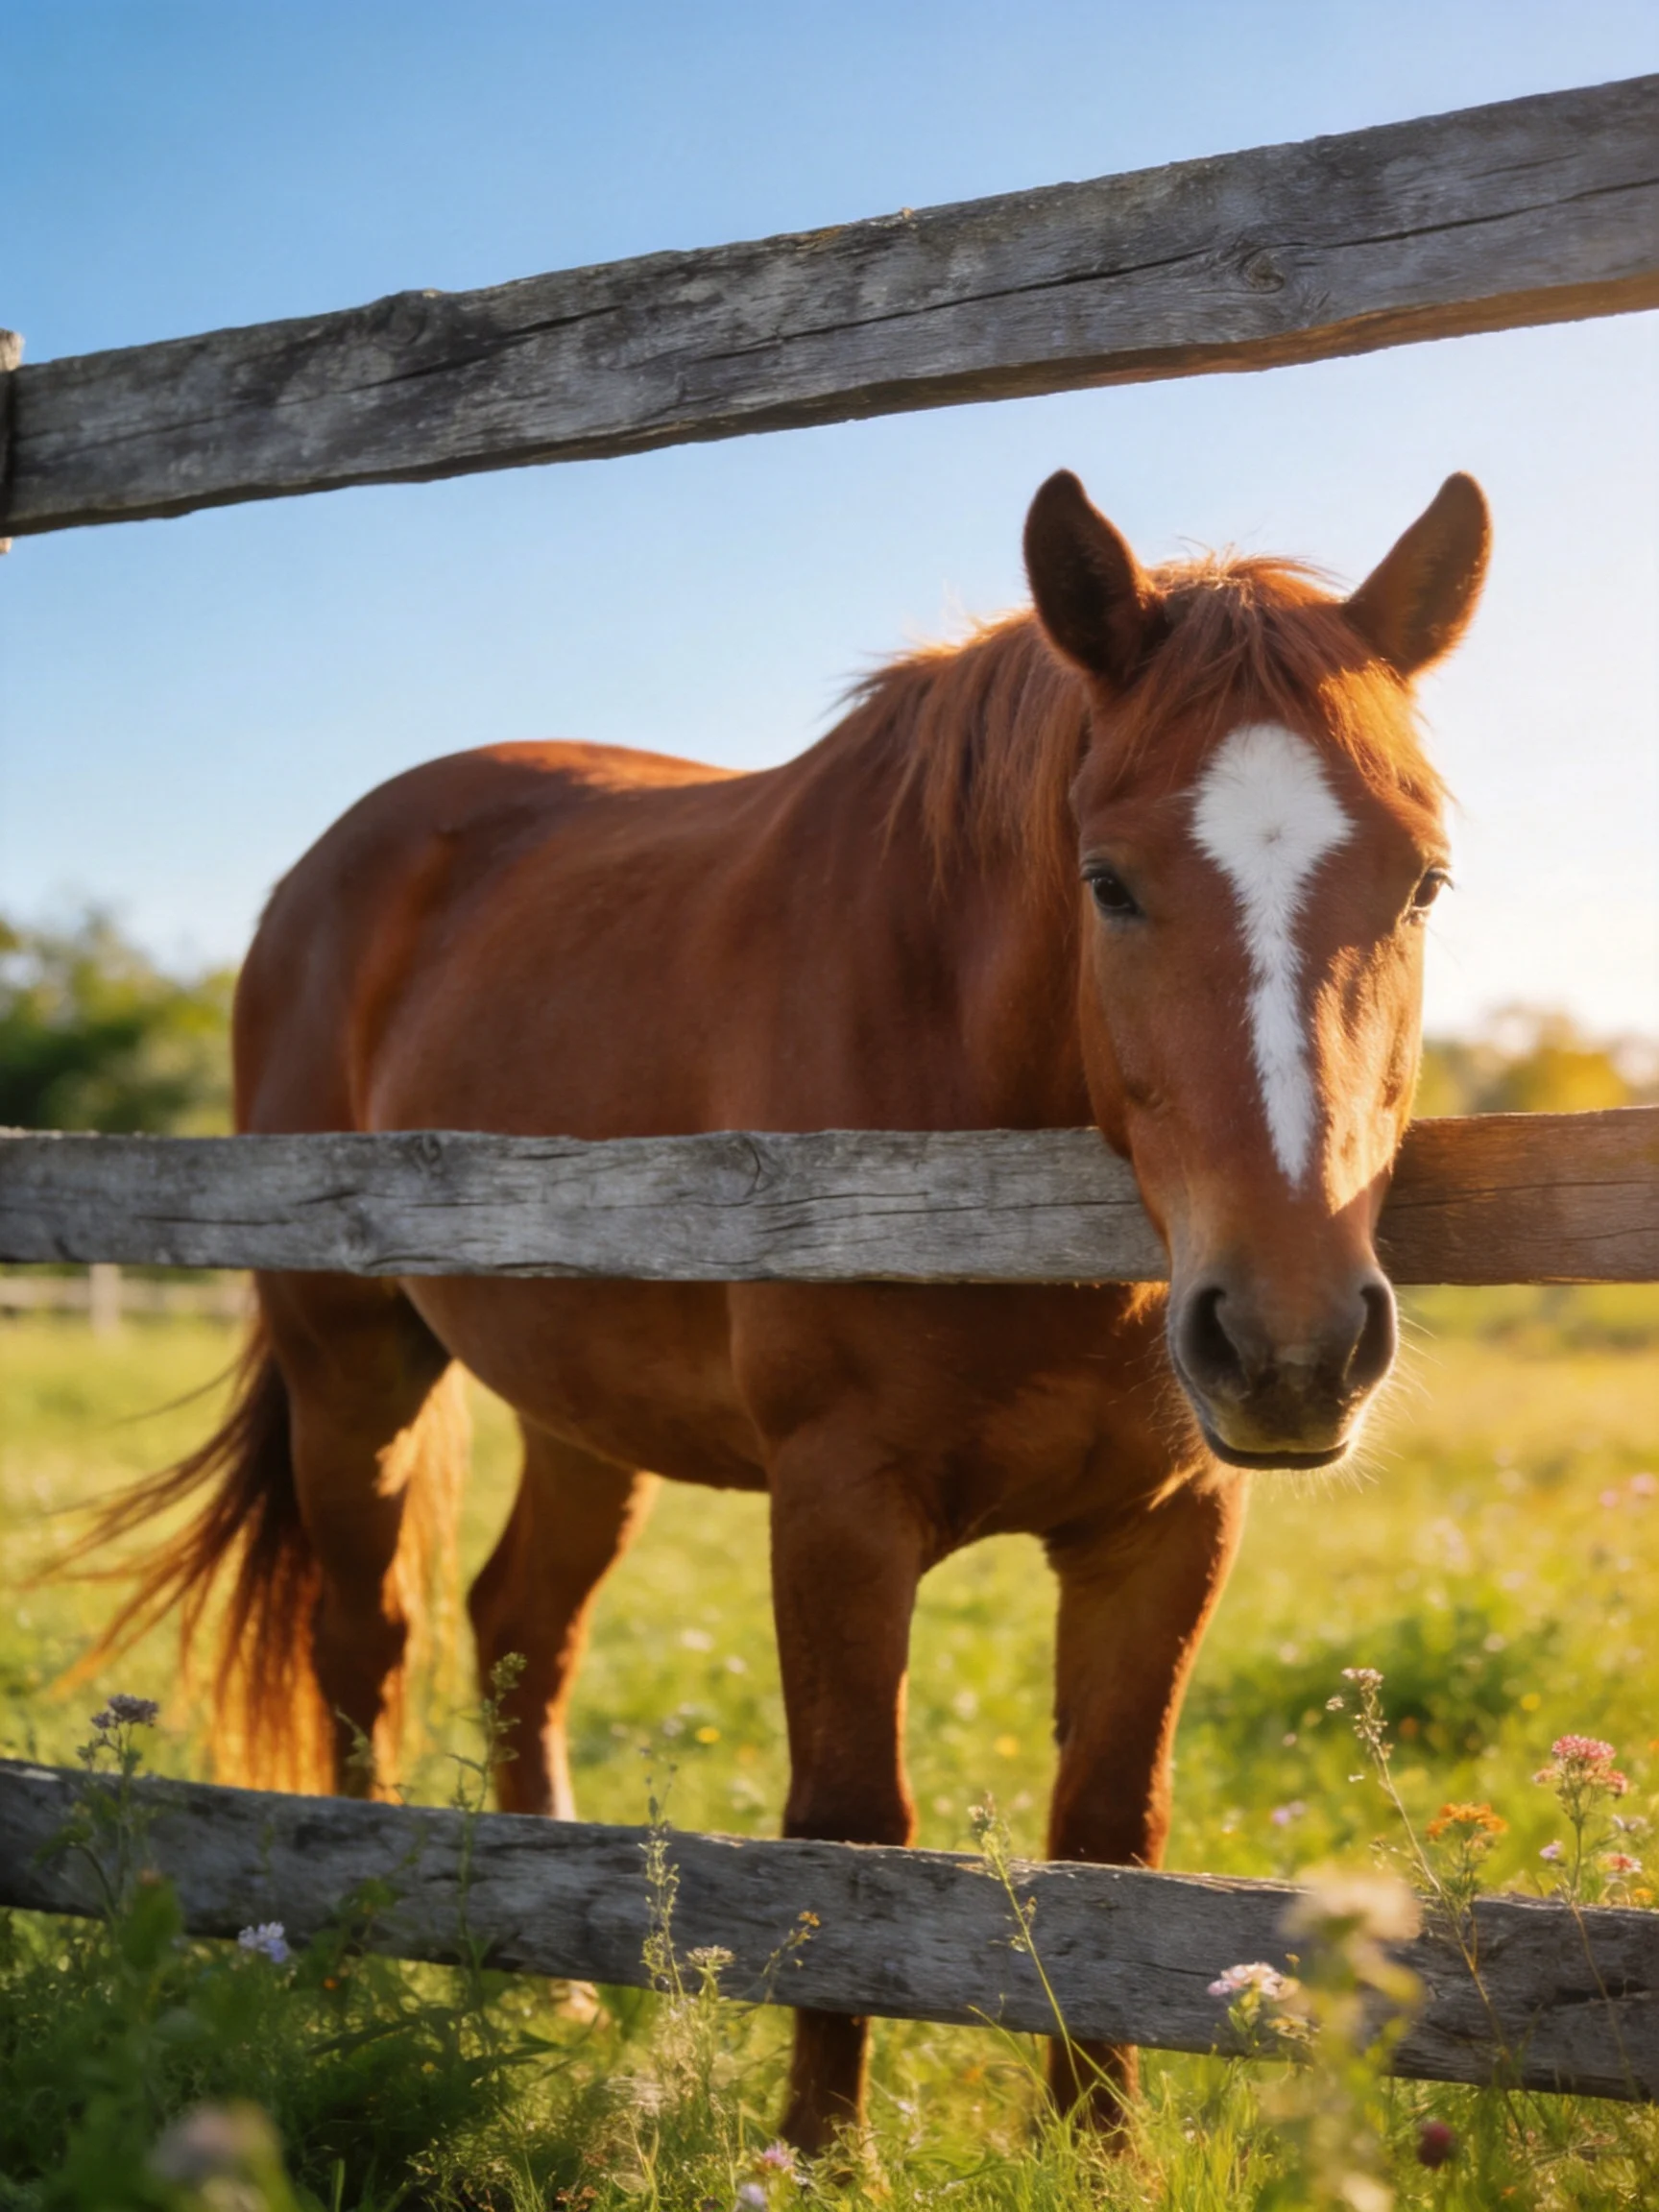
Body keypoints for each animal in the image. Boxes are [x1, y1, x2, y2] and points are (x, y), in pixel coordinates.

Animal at [85, 466, 1488, 2150]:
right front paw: (818, 2149)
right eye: (1111, 882)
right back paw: (343, 1973)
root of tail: (332, 868)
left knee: (519, 1632)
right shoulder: (838, 1505)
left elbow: (1110, 1838)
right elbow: (848, 1832)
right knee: (366, 1648)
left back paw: (558, 1992)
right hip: (351, 1367)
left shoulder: (1167, 1523)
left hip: (583, 1417)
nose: (1289, 1343)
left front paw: (1099, 2149)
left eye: (1422, 881)